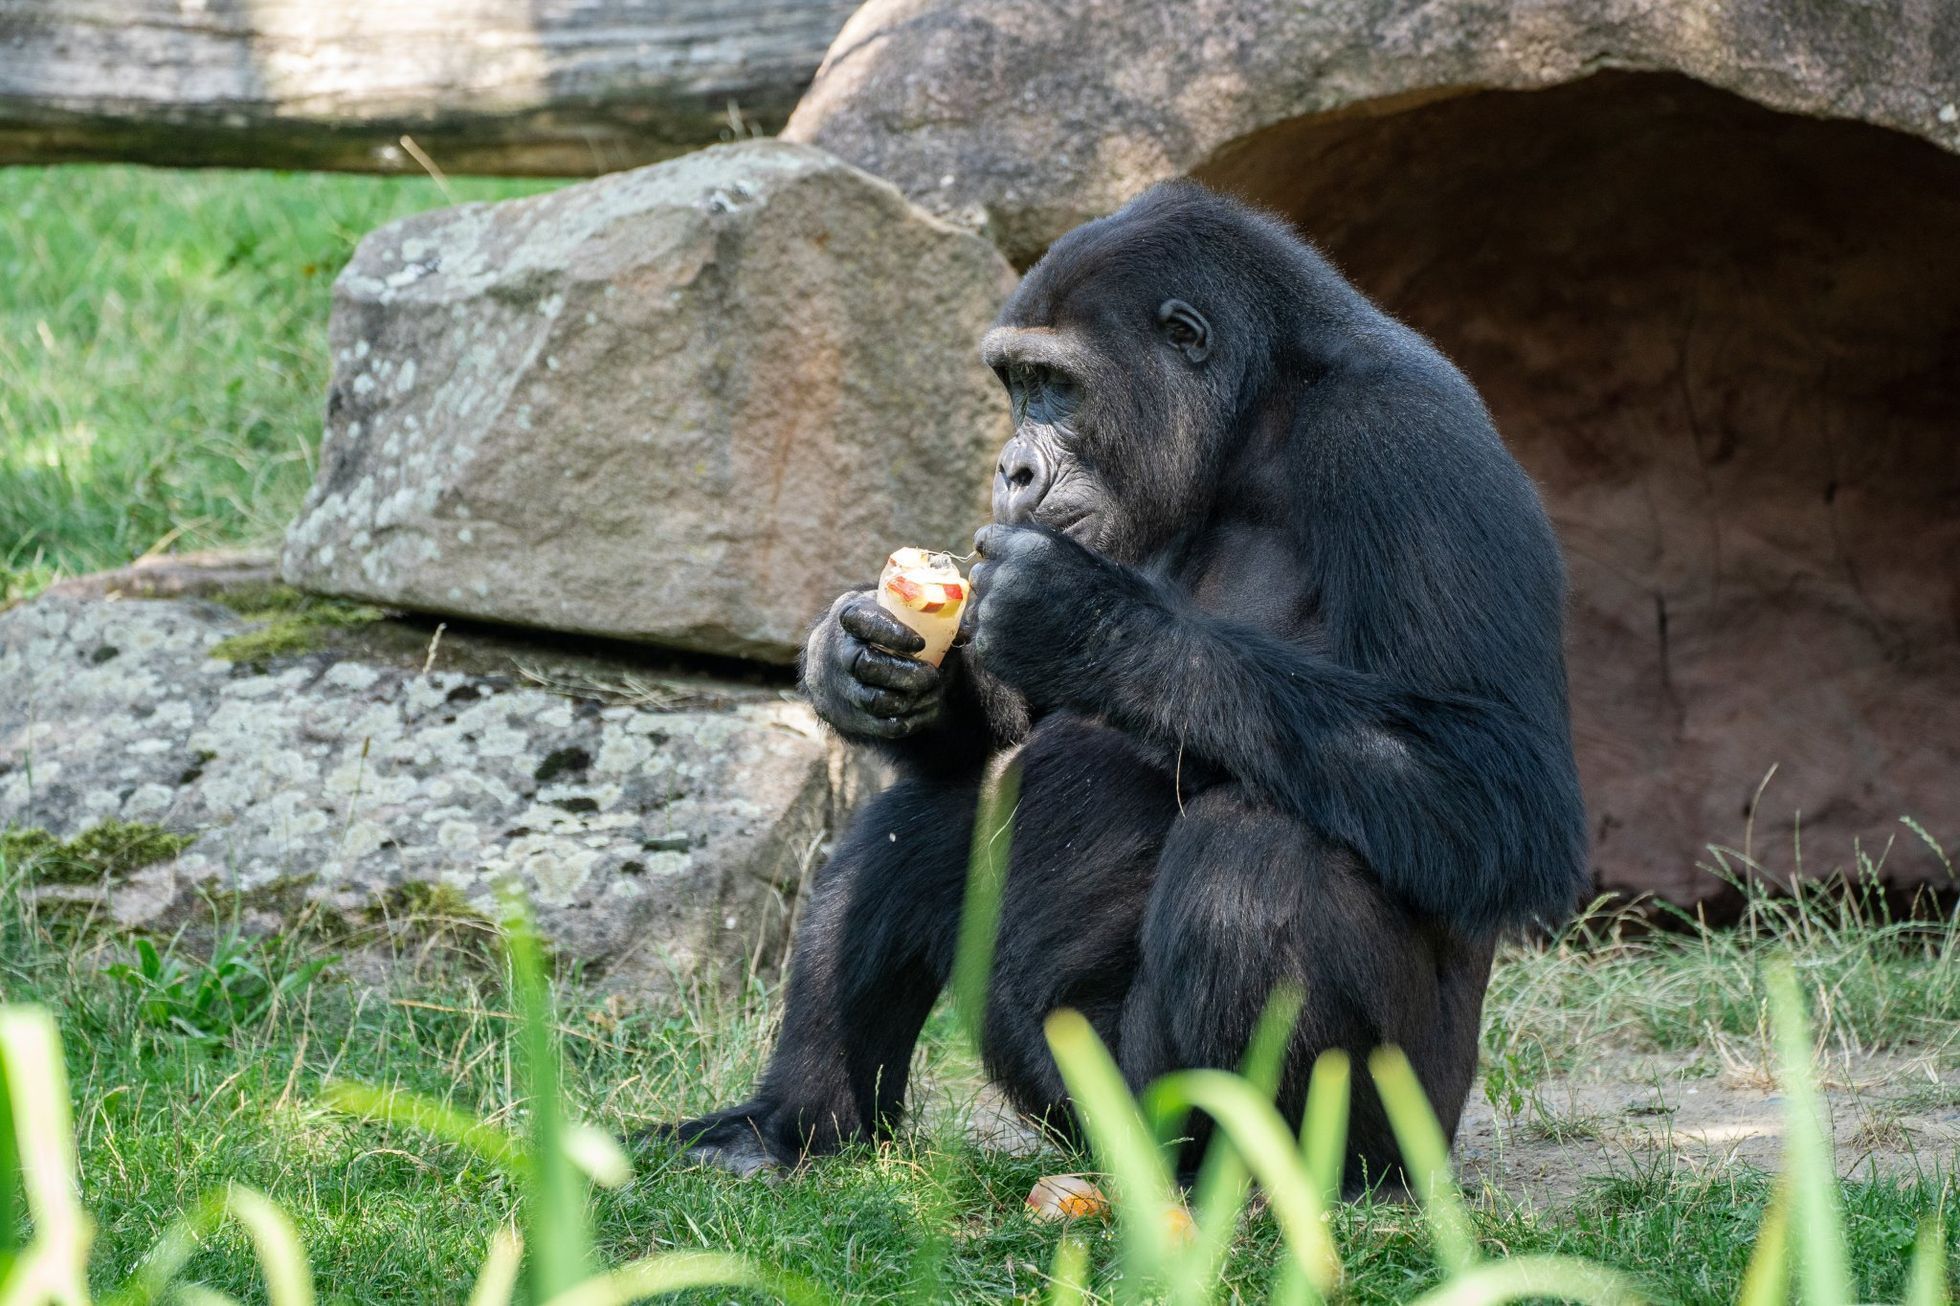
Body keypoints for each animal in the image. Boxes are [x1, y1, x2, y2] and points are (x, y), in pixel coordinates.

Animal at [662, 178, 1591, 1184]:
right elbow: (1004, 738)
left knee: (1256, 856)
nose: (1012, 466)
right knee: (936, 809)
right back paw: (792, 1124)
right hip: (1072, 1108)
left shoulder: (1405, 444)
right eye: (1016, 384)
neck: (1251, 425)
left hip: (1382, 1128)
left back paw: (1256, 1183)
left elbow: (1491, 773)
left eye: (1057, 386)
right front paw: (860, 661)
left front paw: (1084, 620)